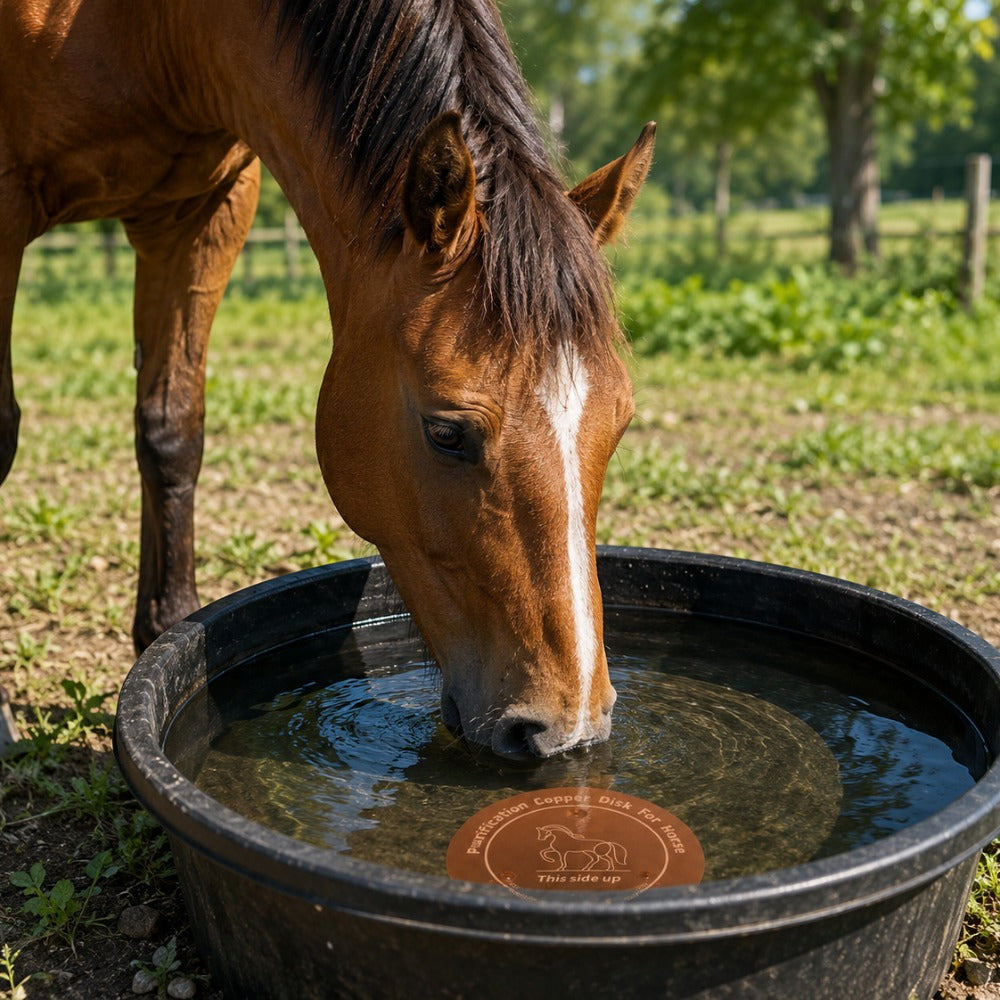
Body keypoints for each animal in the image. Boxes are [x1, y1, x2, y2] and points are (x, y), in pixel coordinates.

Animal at [0, 0, 654, 758]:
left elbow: (171, 431)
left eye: (621, 422)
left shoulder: (203, 211)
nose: (568, 727)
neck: (152, 27)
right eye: (446, 433)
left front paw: (164, 636)